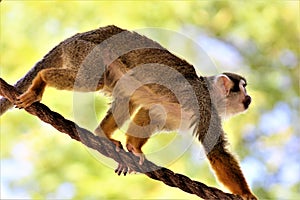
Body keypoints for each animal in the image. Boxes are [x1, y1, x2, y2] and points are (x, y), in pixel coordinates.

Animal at [0, 25, 255, 199]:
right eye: (242, 88)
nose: (250, 98)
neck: (210, 93)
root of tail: (74, 37)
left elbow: (153, 112)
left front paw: (134, 148)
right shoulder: (204, 105)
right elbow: (217, 151)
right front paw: (246, 194)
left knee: (125, 90)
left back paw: (102, 134)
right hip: (86, 52)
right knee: (94, 79)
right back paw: (42, 80)